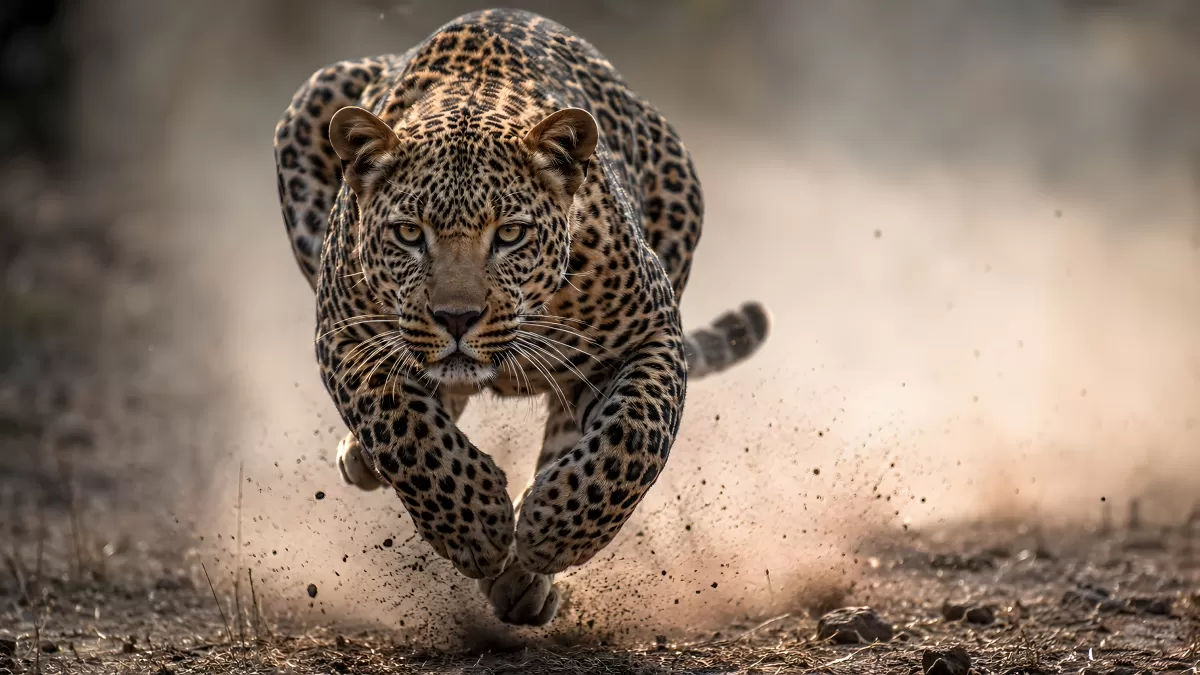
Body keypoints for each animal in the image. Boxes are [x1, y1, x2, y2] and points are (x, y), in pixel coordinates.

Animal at [273, 8, 770, 627]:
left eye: (509, 234)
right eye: (409, 233)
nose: (456, 318)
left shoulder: (652, 332)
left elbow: (634, 437)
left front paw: (551, 533)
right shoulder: (346, 339)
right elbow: (405, 430)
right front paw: (477, 524)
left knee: (570, 427)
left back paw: (527, 572)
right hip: (312, 104)